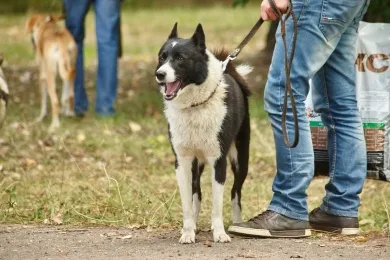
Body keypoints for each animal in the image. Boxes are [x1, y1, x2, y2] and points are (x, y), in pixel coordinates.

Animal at [156, 22, 253, 244]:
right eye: (162, 57)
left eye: (180, 58)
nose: (159, 74)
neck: (195, 106)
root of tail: (231, 71)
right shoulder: (182, 162)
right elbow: (187, 203)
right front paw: (187, 231)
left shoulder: (219, 161)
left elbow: (217, 205)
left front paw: (219, 233)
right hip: (196, 164)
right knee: (196, 193)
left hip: (241, 160)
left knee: (235, 193)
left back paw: (237, 224)